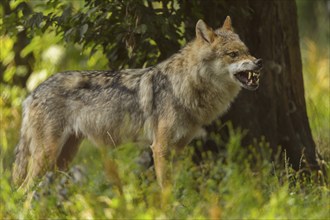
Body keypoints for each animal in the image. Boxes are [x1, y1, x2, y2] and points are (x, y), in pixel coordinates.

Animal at [12, 16, 262, 190]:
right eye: (232, 54)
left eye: (247, 51)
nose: (259, 62)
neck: (185, 86)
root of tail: (32, 92)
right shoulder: (160, 148)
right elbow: (165, 189)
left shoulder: (178, 150)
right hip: (47, 157)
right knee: (25, 191)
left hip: (62, 160)